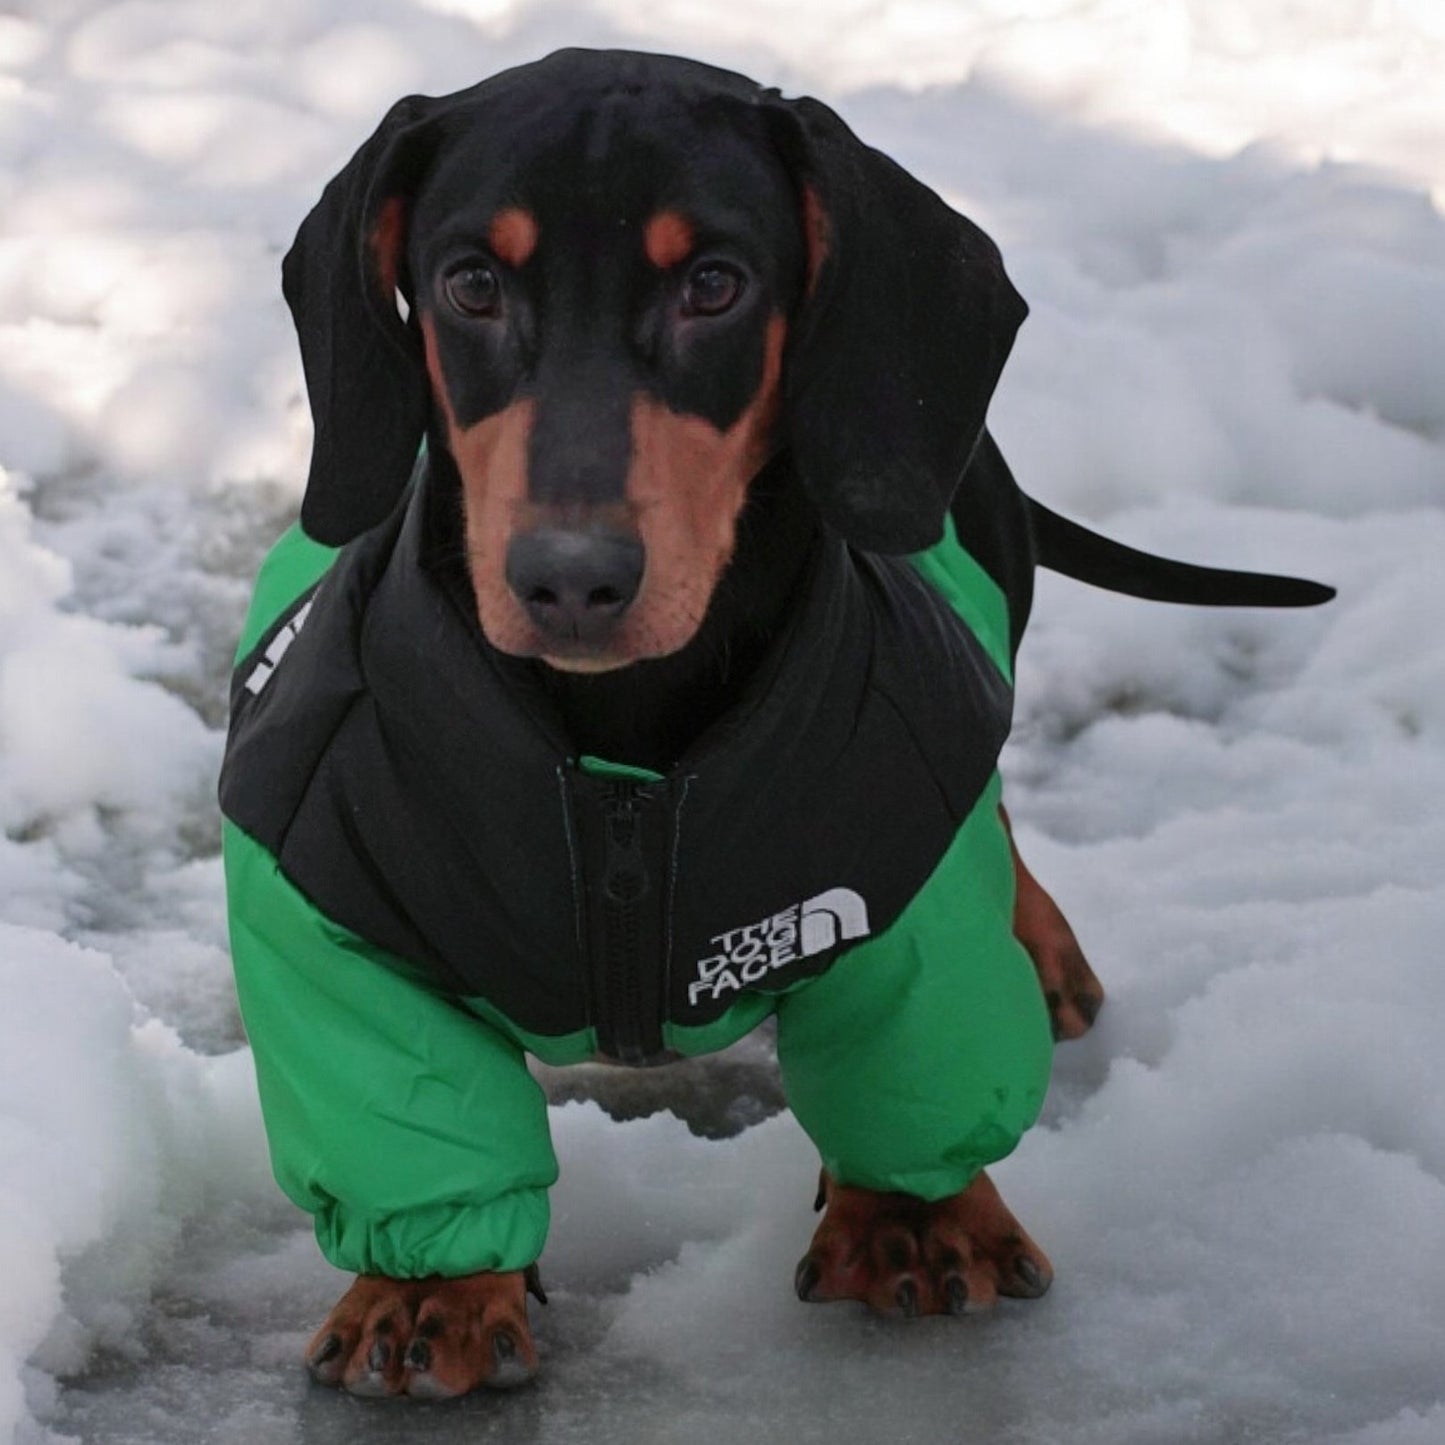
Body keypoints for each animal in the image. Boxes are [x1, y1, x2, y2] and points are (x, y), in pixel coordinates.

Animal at [225, 48, 1329, 1398]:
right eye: (470, 281)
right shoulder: (325, 898)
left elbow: (916, 1051)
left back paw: (1044, 945)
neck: (622, 754)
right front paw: (424, 1287)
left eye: (714, 282)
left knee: (996, 794)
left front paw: (915, 1218)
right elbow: (405, 1104)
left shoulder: (904, 874)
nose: (571, 579)